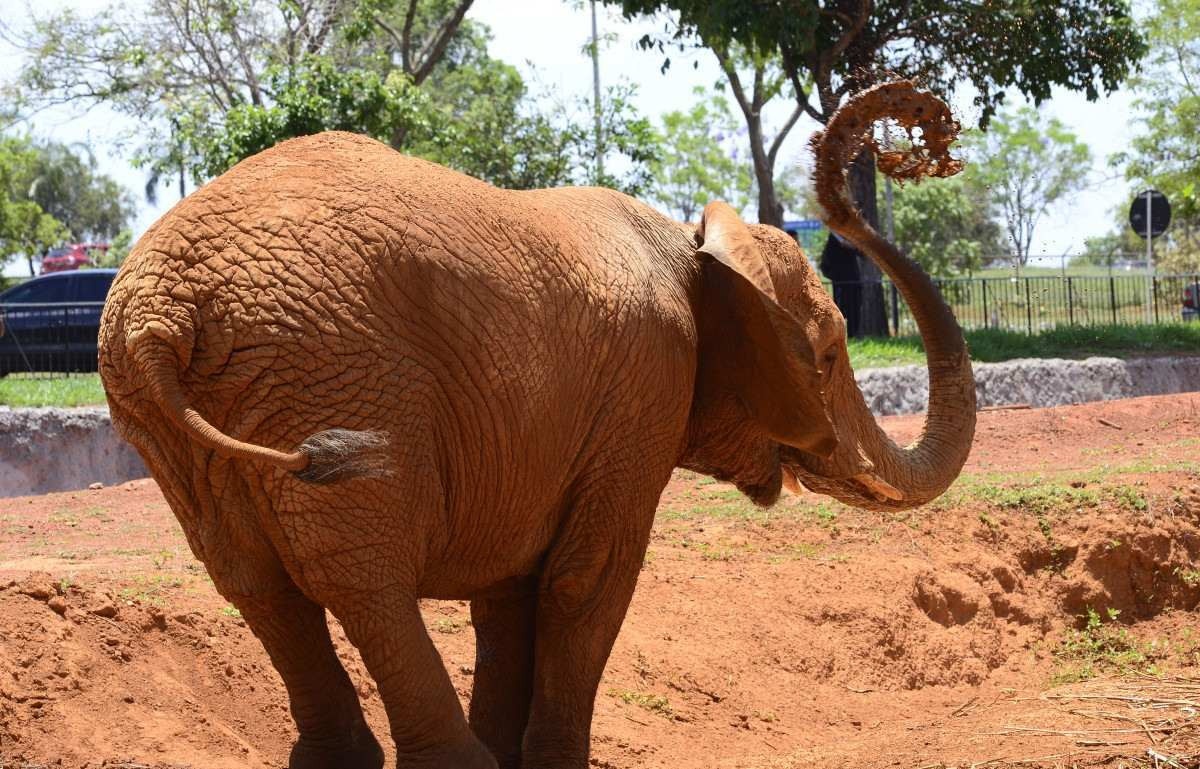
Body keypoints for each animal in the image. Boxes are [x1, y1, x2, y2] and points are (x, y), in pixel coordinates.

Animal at [96, 79, 974, 767]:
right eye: (827, 353)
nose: (914, 142)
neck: (692, 242)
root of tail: (160, 310)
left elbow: (511, 589)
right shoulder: (645, 383)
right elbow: (590, 577)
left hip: (176, 423)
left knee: (257, 586)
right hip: (328, 371)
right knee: (361, 577)